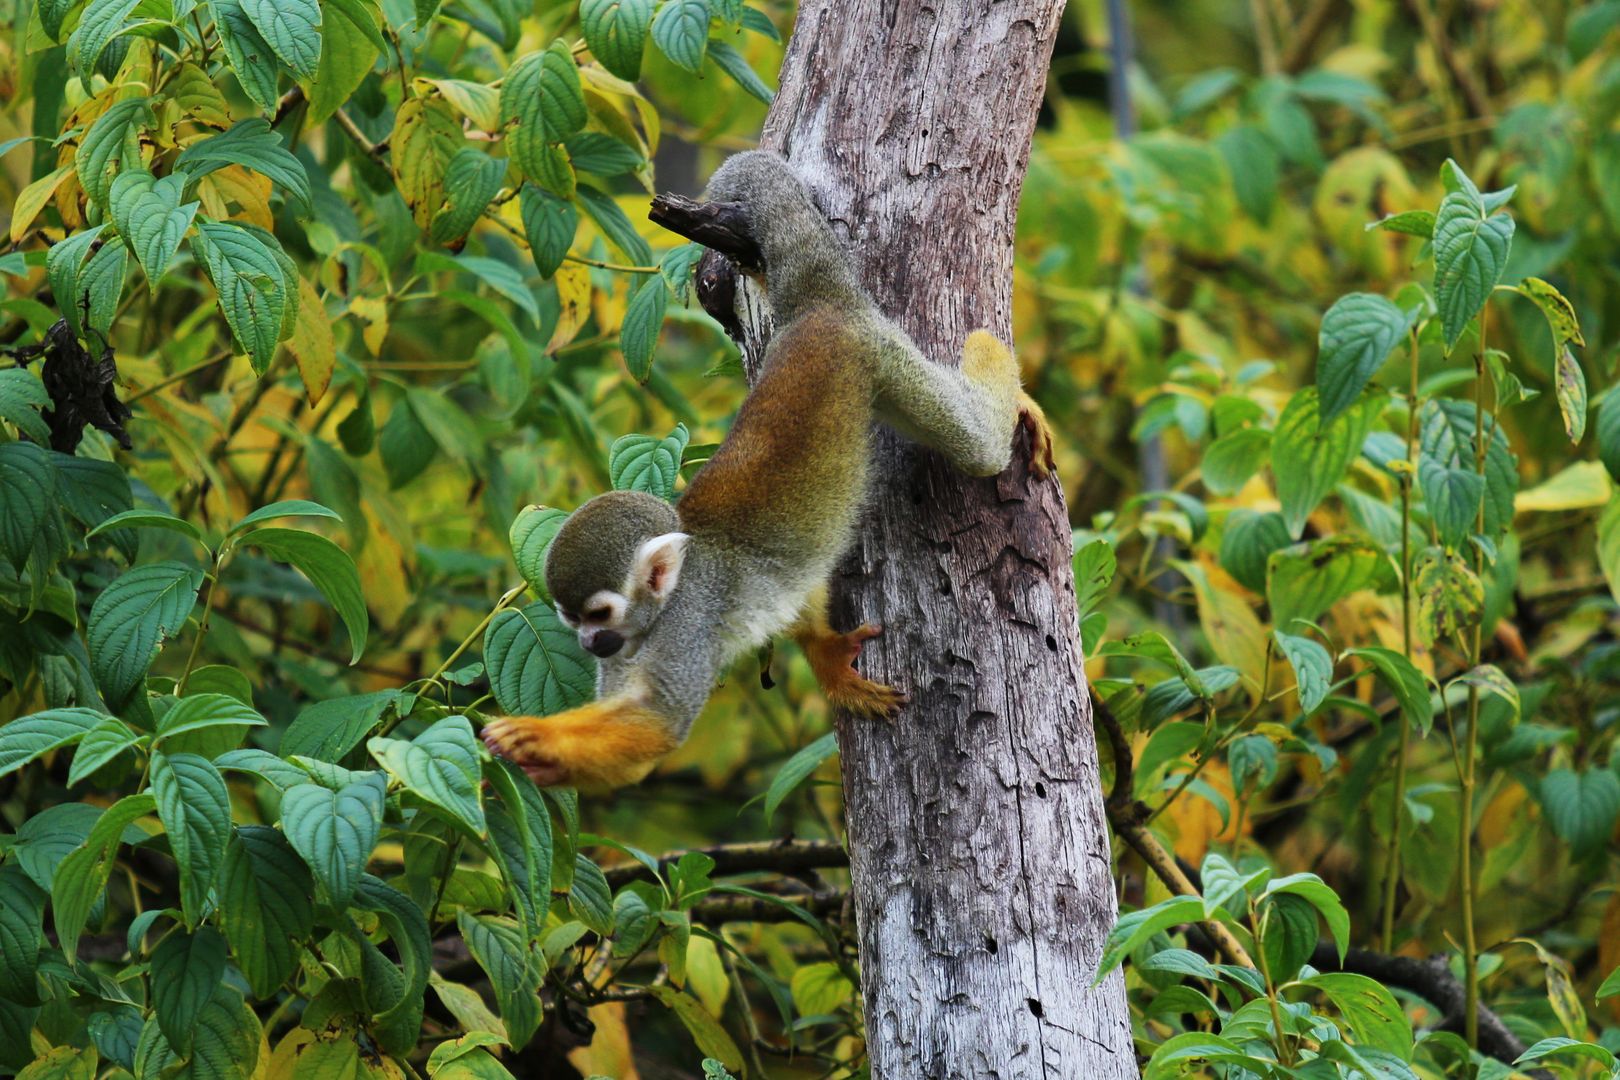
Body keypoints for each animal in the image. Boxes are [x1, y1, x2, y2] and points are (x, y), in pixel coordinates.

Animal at [476, 152, 1062, 790]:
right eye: (570, 617)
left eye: (599, 613)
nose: (589, 642)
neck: (664, 601)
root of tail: (819, 312)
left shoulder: (687, 623)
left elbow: (658, 726)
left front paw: (536, 737)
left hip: (882, 351)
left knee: (976, 445)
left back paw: (999, 370)